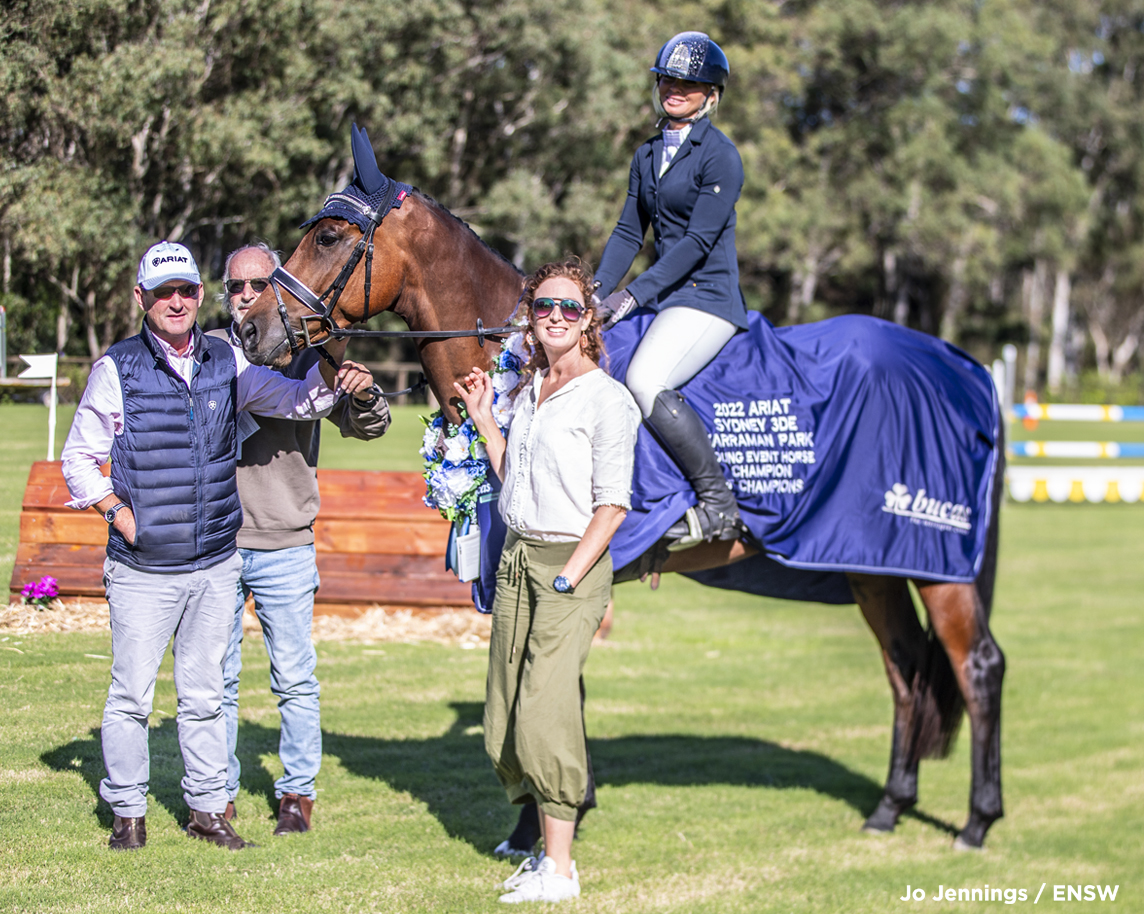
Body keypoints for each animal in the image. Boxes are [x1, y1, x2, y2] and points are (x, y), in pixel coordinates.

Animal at [239, 126, 1002, 851]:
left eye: (329, 236)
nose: (251, 329)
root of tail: (960, 366)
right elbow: (554, 688)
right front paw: (550, 817)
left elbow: (544, 685)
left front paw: (546, 824)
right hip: (874, 563)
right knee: (906, 668)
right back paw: (890, 809)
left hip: (936, 564)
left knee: (978, 665)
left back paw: (976, 822)